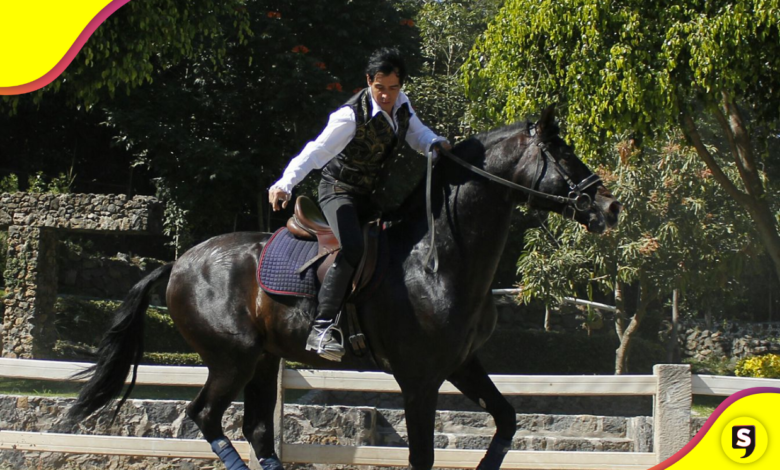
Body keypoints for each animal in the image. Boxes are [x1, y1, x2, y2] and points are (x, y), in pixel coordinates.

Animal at [68, 106, 621, 470]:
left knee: (258, 430)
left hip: (263, 359)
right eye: (560, 153)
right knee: (205, 416)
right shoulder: (419, 379)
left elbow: (505, 421)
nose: (610, 207)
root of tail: (180, 262)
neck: (438, 260)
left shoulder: (462, 363)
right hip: (232, 358)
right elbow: (423, 456)